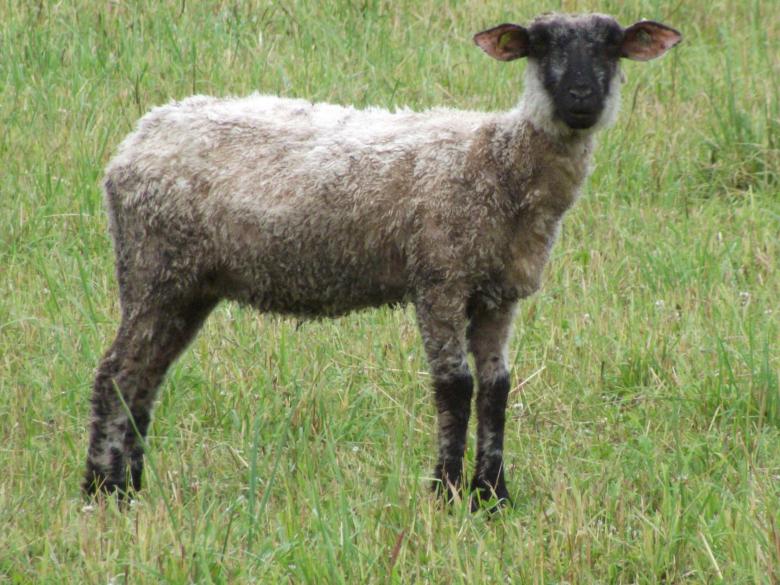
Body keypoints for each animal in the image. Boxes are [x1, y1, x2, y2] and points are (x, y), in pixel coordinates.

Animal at [84, 13, 681, 508]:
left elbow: (496, 389)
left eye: (612, 48)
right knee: (117, 372)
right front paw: (446, 494)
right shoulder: (440, 276)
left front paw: (493, 497)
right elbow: (454, 385)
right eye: (540, 46)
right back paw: (102, 491)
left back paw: (131, 486)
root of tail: (135, 140)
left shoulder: (498, 292)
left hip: (189, 284)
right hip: (152, 266)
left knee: (145, 377)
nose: (581, 100)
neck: (498, 161)